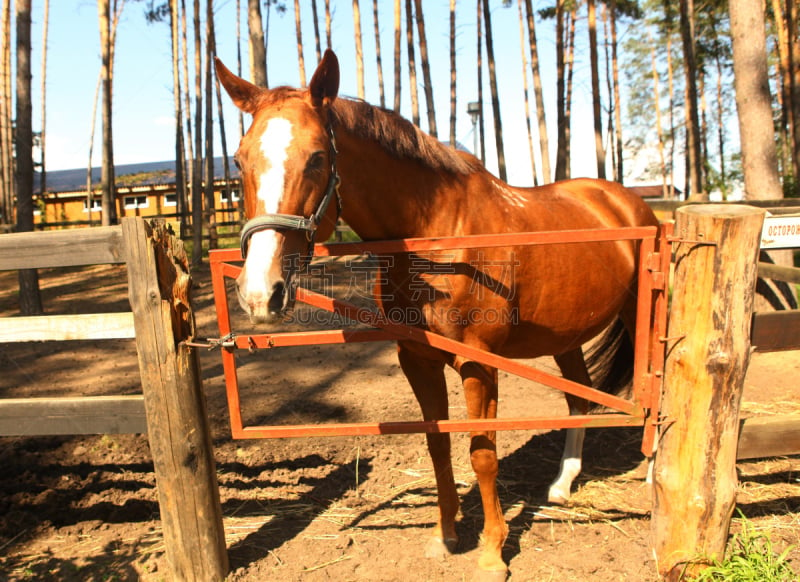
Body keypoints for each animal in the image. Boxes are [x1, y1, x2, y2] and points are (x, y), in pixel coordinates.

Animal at [216, 51, 660, 582]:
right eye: (240, 160)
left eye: (317, 157)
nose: (260, 292)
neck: (440, 237)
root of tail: (626, 201)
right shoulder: (418, 360)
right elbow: (438, 445)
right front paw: (446, 535)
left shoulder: (479, 365)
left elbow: (482, 454)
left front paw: (492, 553)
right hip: (566, 334)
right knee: (580, 398)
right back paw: (561, 485)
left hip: (644, 315)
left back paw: (655, 476)